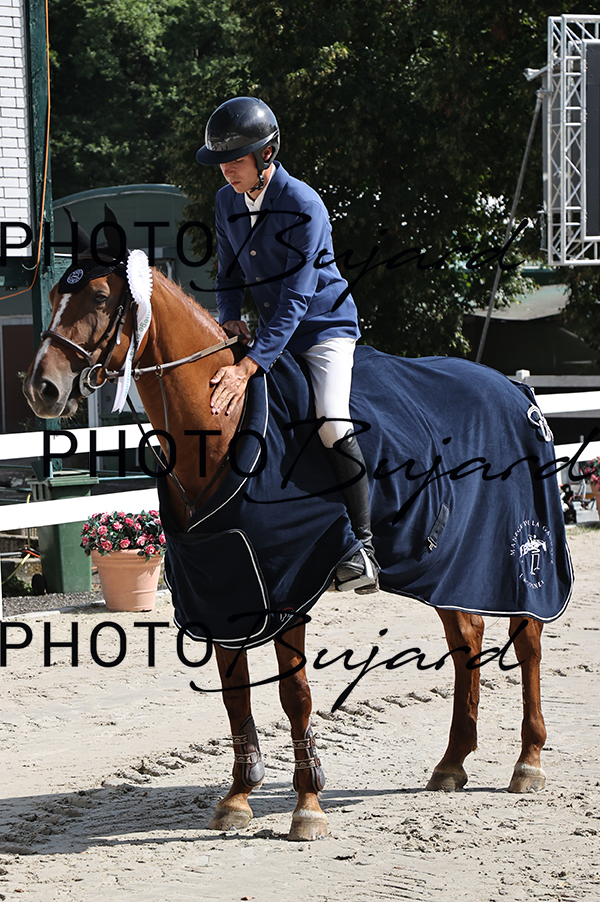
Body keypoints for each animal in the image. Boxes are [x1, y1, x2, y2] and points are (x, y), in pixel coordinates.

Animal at [23, 227, 562, 843]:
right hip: (448, 563)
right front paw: (237, 797)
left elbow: (294, 694)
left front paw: (307, 806)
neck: (223, 425)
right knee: (467, 637)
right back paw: (452, 762)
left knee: (528, 638)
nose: (41, 388)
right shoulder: (223, 585)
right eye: (58, 295)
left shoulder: (288, 586)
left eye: (97, 298)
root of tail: (514, 391)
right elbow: (234, 694)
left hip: (519, 557)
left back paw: (528, 762)